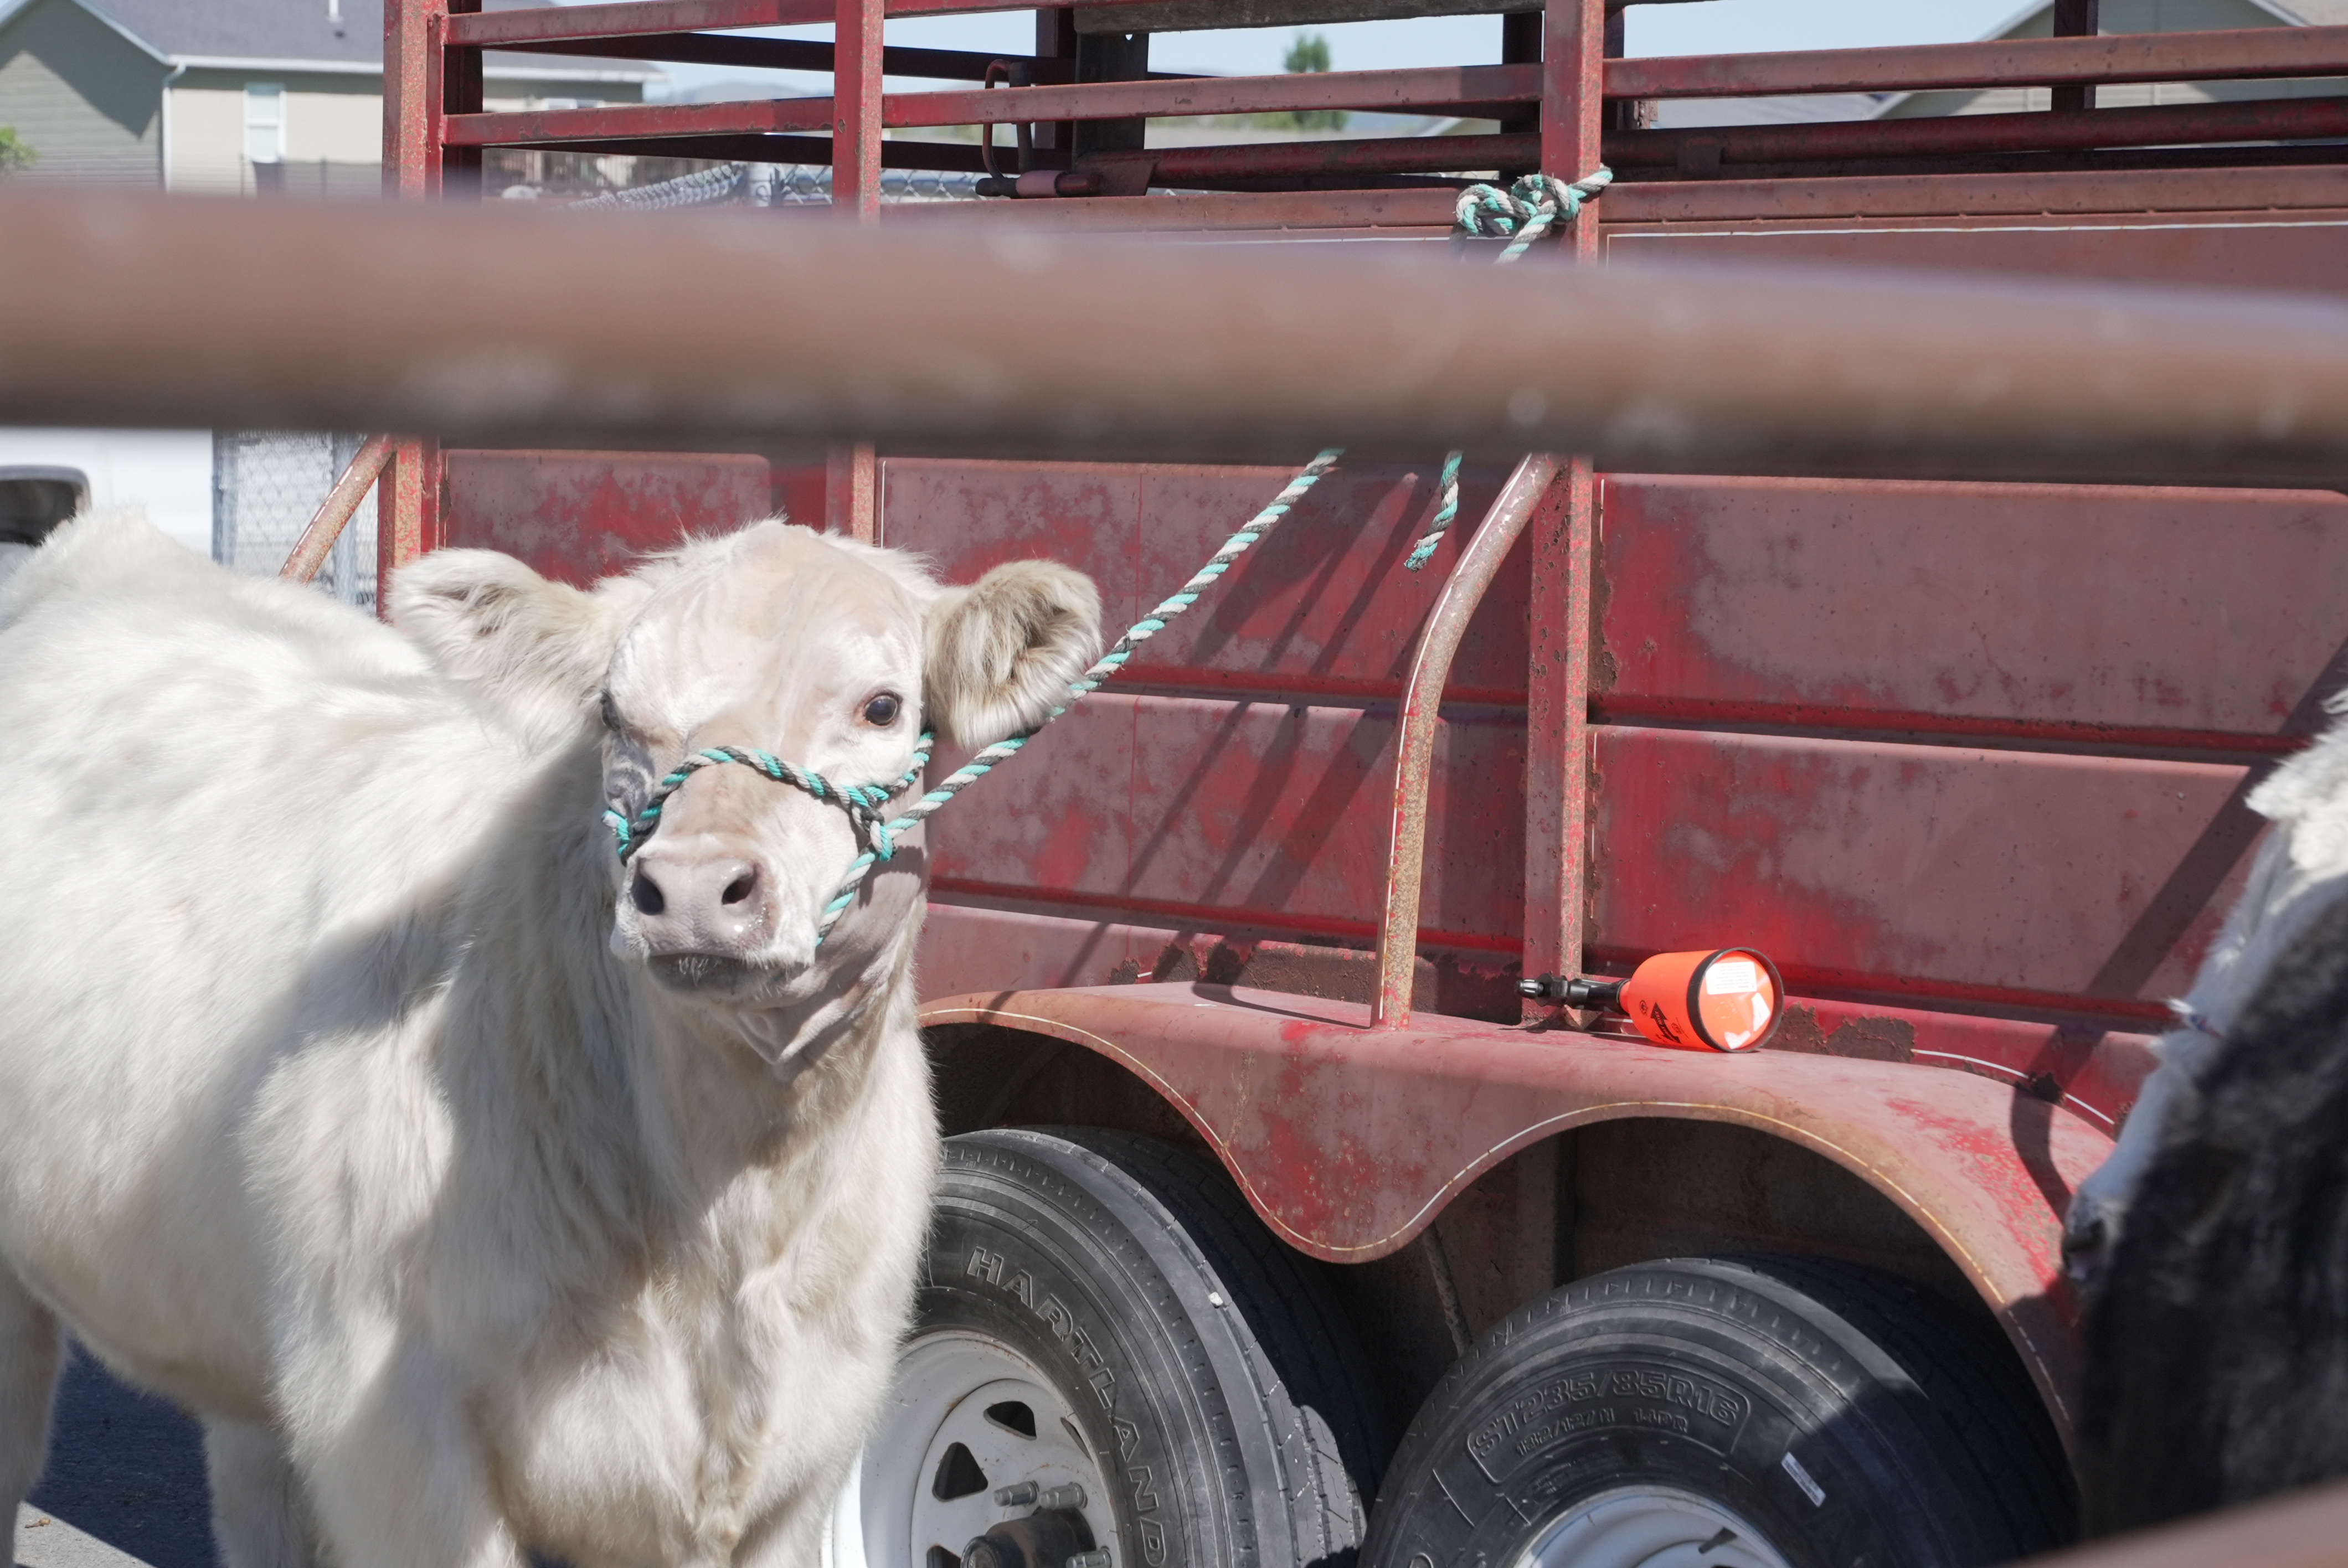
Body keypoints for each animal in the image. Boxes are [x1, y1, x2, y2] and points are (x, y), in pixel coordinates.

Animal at [0, 510, 1102, 1568]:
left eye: (881, 706)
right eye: (613, 713)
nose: (692, 889)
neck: (730, 1206)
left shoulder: (807, 1450)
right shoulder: (393, 1438)